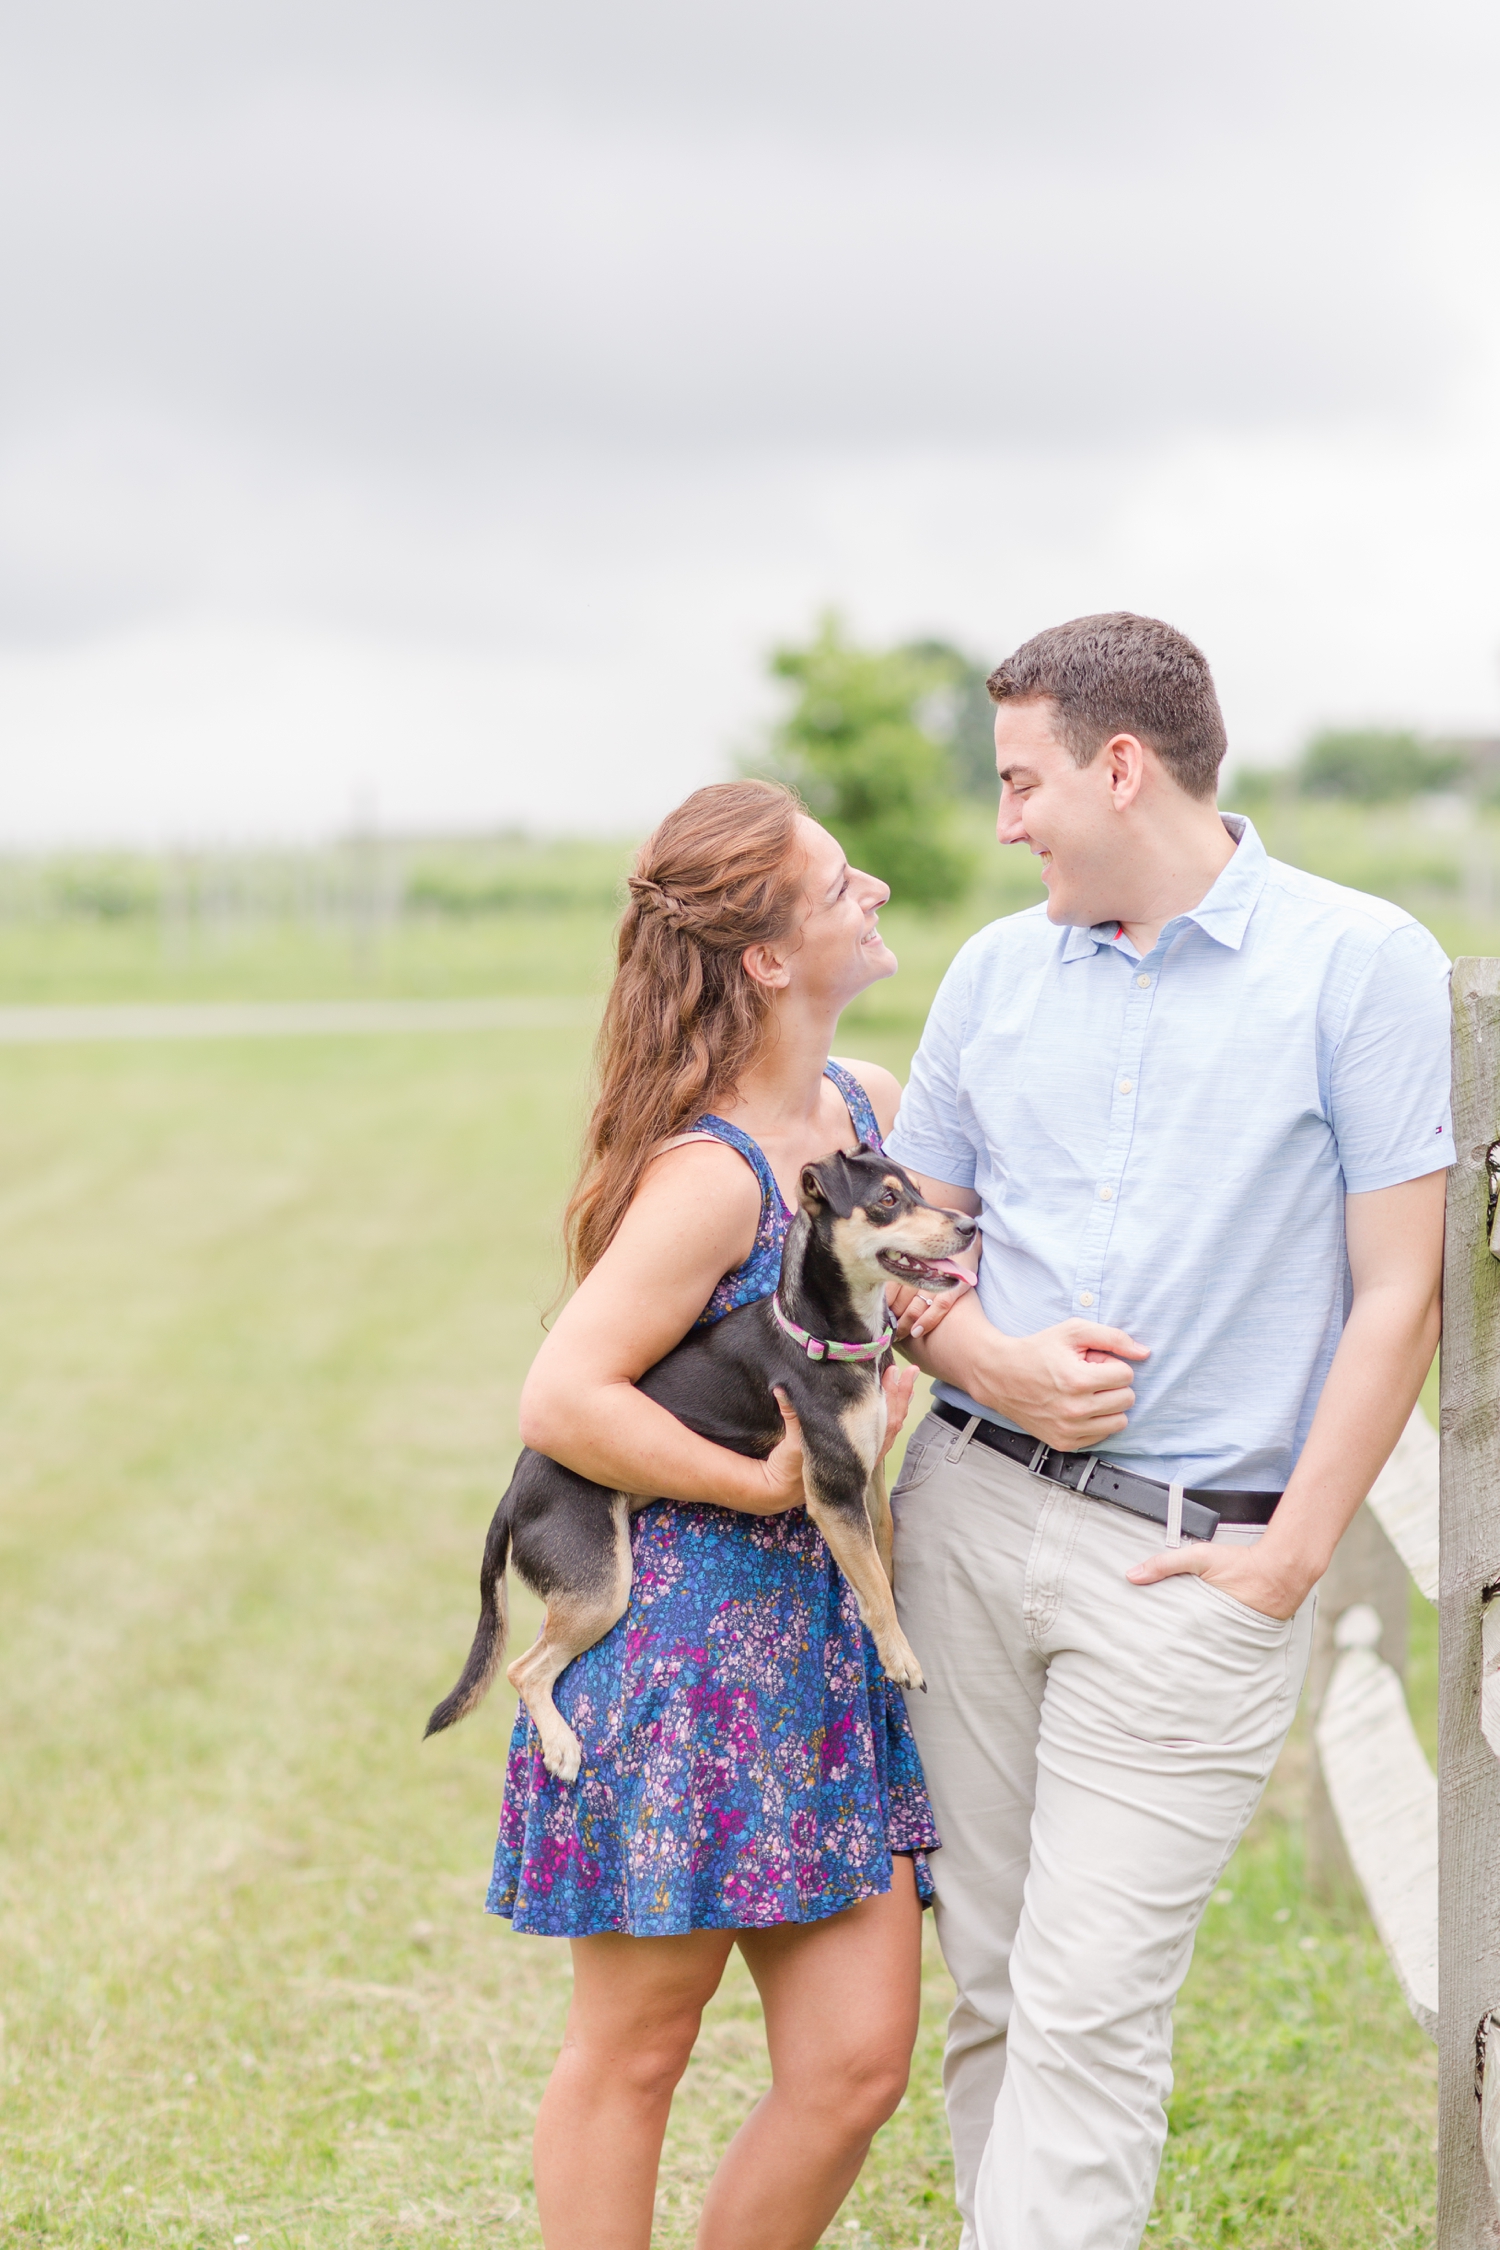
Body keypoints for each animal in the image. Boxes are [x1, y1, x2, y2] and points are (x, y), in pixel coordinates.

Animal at [427, 1152, 980, 1782]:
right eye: (887, 1201)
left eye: (917, 1189)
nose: (970, 1226)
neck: (825, 1337)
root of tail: (512, 1495)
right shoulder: (834, 1492)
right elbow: (876, 1591)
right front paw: (901, 1657)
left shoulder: (869, 1480)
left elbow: (881, 1566)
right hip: (599, 1588)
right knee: (523, 1668)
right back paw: (562, 1746)